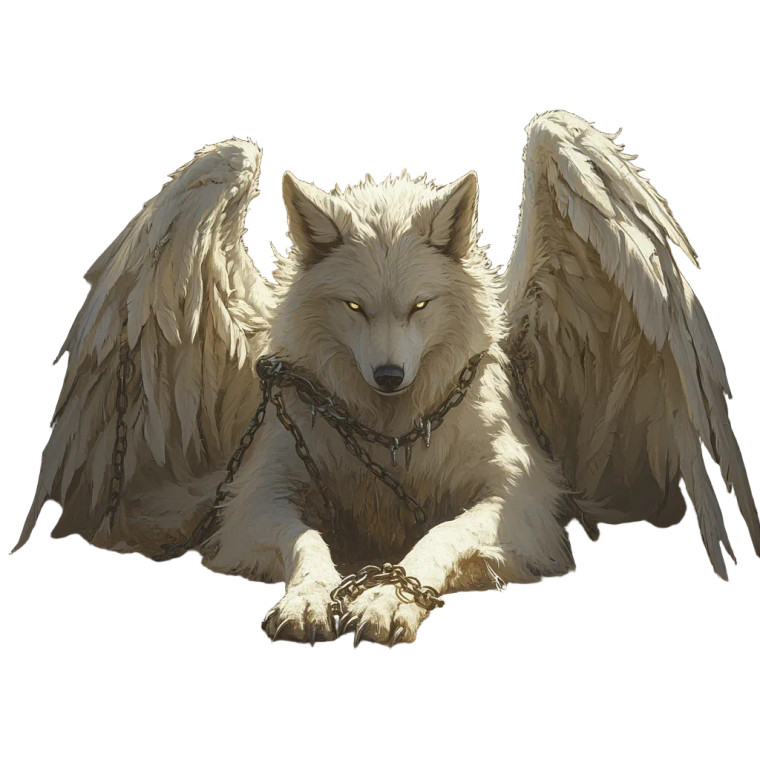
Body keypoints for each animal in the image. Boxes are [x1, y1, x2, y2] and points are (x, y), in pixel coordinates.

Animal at [15, 110, 759, 646]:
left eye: (420, 306)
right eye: (354, 307)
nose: (391, 374)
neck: (392, 430)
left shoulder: (517, 501)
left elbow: (437, 539)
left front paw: (385, 598)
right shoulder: (257, 497)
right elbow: (308, 543)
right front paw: (311, 598)